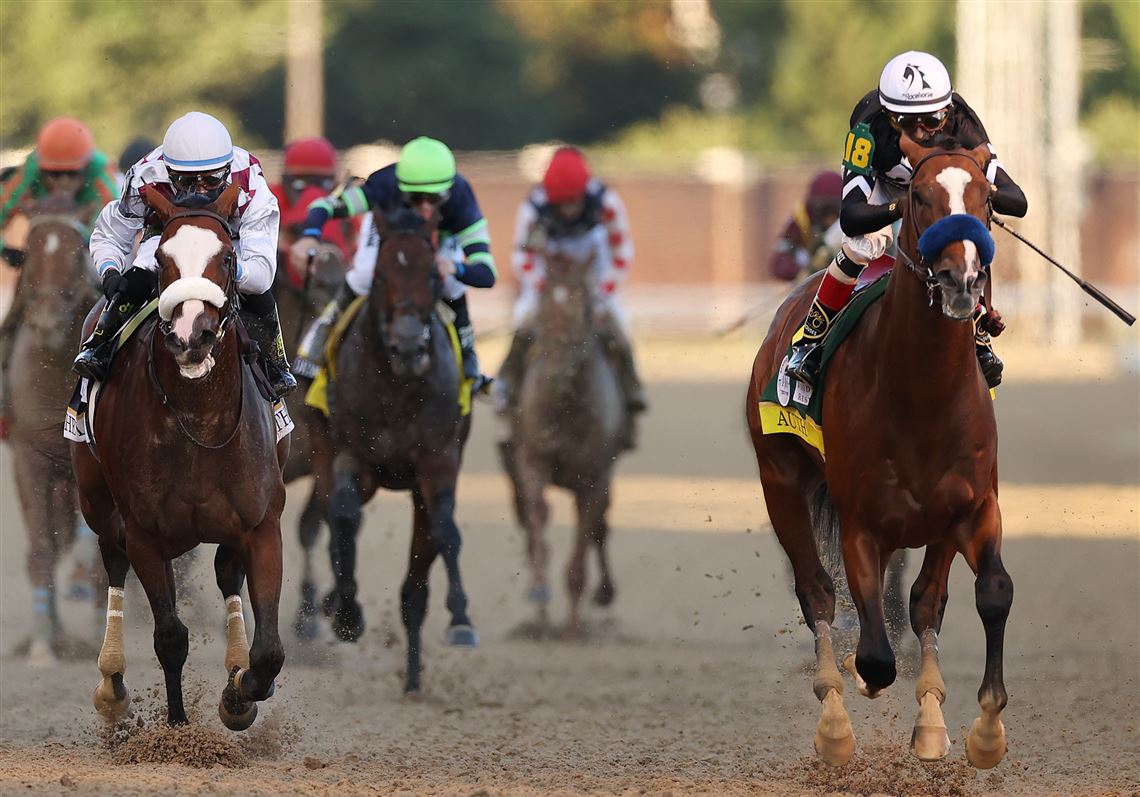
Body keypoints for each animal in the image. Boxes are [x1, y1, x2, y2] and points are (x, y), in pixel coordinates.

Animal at [71, 183, 287, 734]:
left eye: (228, 257)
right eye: (162, 259)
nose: (192, 335)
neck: (199, 422)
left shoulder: (261, 524)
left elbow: (269, 652)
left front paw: (238, 695)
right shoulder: (145, 532)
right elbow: (170, 636)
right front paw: (176, 728)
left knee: (227, 576)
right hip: (97, 501)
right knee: (113, 560)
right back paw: (112, 685)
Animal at [323, 205, 474, 693]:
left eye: (431, 274)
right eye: (382, 275)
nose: (408, 345)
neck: (396, 385)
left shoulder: (438, 462)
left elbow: (446, 531)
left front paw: (461, 619)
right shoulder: (352, 455)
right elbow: (345, 514)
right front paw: (347, 614)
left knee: (417, 578)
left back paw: (412, 677)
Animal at [499, 249, 629, 633]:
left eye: (584, 309)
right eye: (543, 308)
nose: (557, 372)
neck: (565, 405)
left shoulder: (594, 474)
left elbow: (587, 529)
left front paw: (572, 623)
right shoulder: (532, 460)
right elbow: (539, 515)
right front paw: (540, 600)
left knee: (600, 526)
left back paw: (602, 594)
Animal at [747, 140, 1016, 770]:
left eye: (987, 198)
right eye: (918, 196)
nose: (961, 280)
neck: (922, 396)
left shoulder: (971, 507)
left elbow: (984, 594)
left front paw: (980, 730)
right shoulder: (861, 522)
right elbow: (873, 654)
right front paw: (859, 686)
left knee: (920, 602)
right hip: (781, 482)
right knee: (818, 593)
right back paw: (835, 719)